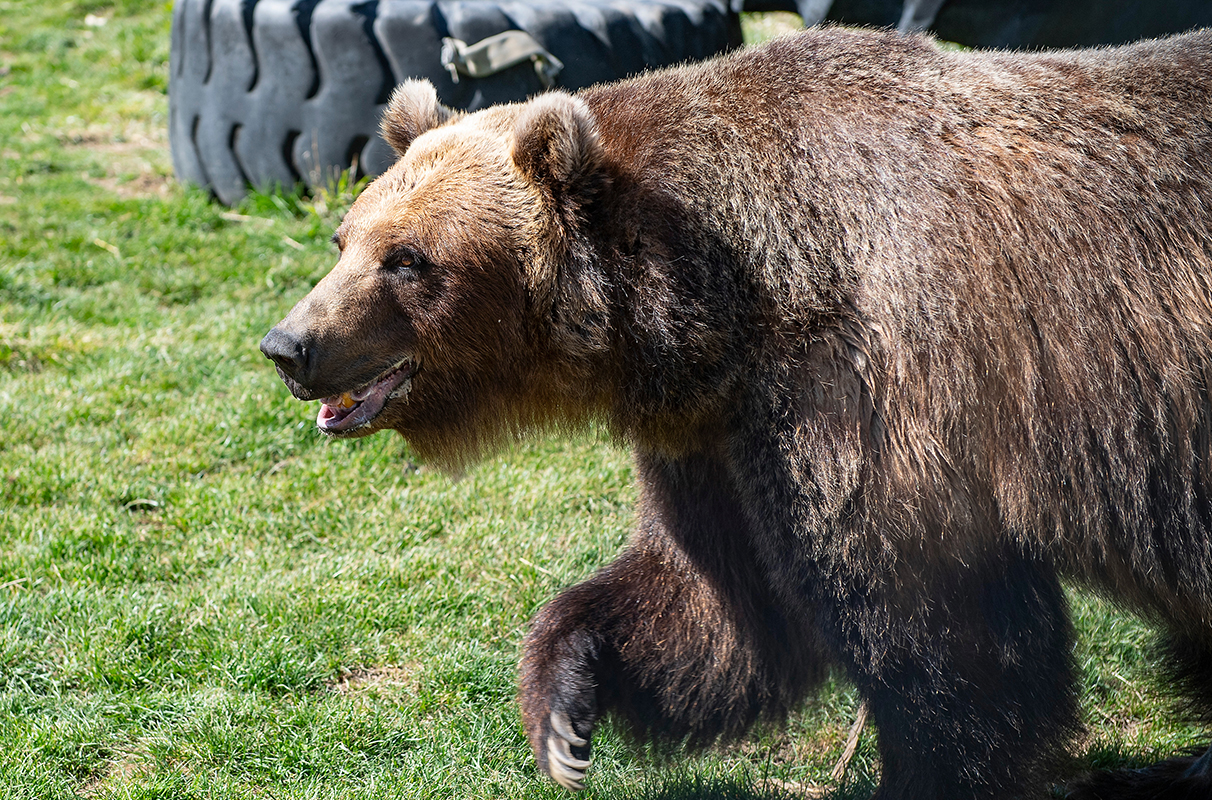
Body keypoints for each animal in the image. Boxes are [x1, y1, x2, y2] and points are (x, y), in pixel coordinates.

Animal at [260, 26, 1212, 800]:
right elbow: (723, 605)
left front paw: (923, 770)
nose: (289, 344)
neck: (725, 306)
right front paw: (564, 711)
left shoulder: (863, 396)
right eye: (346, 237)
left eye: (408, 259)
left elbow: (945, 638)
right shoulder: (720, 433)